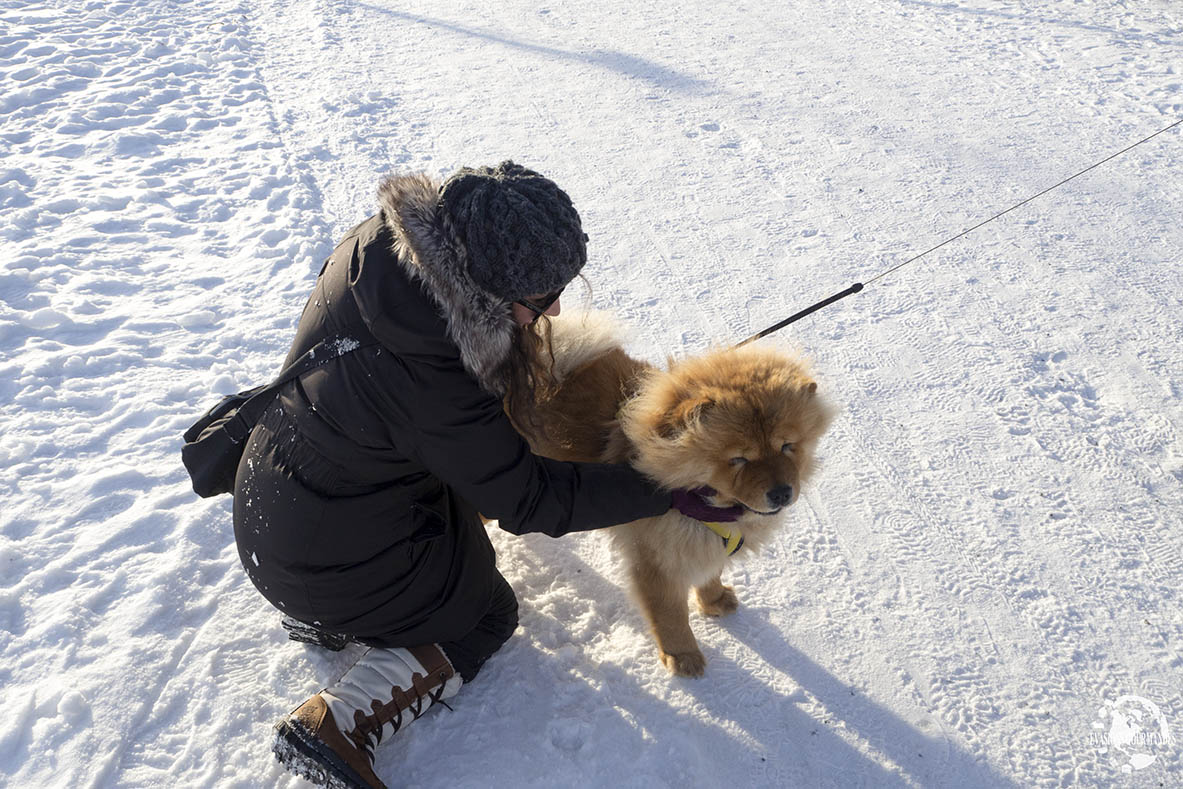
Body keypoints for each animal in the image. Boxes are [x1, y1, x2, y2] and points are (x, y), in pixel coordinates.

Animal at [522, 314, 837, 681]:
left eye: (787, 446)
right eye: (739, 459)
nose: (782, 492)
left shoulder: (709, 541)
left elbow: (711, 574)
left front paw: (715, 602)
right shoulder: (659, 562)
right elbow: (670, 616)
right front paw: (684, 657)